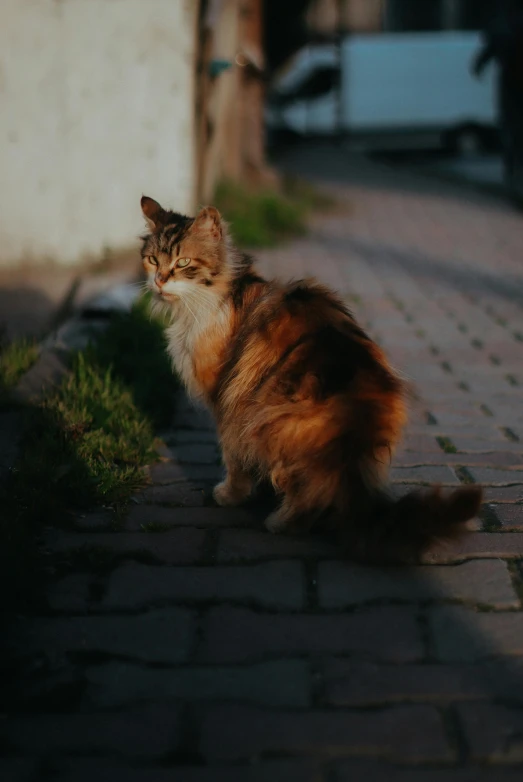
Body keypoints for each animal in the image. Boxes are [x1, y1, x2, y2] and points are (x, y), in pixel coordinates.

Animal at [138, 195, 484, 564]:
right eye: (152, 260)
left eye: (183, 262)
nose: (159, 280)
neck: (217, 296)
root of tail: (357, 418)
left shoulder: (225, 401)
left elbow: (233, 458)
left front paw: (231, 494)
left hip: (266, 419)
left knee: (312, 489)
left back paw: (280, 522)